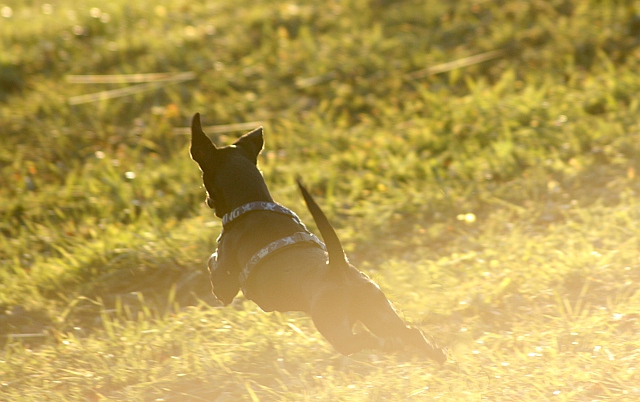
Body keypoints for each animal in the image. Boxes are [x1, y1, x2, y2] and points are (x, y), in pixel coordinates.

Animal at [191, 114, 444, 364]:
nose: (207, 202)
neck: (252, 203)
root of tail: (338, 268)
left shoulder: (224, 281)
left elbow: (214, 266)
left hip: (335, 326)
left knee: (361, 341)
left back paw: (390, 345)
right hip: (380, 313)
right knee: (412, 332)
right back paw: (437, 355)